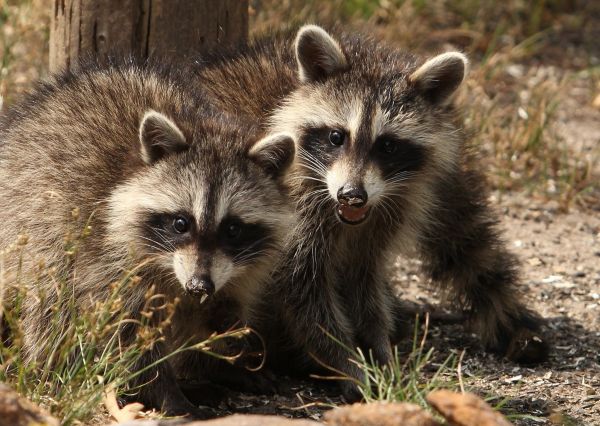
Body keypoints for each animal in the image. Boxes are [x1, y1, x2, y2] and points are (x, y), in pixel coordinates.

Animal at [0, 60, 296, 416]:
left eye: (233, 229)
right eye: (181, 223)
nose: (199, 285)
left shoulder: (236, 271)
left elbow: (221, 311)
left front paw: (226, 361)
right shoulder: (106, 260)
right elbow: (126, 336)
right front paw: (166, 392)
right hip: (31, 233)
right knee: (49, 307)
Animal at [196, 25, 548, 400]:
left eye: (388, 145)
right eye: (336, 137)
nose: (352, 195)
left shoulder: (388, 213)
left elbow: (364, 282)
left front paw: (377, 348)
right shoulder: (292, 212)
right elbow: (303, 292)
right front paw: (345, 361)